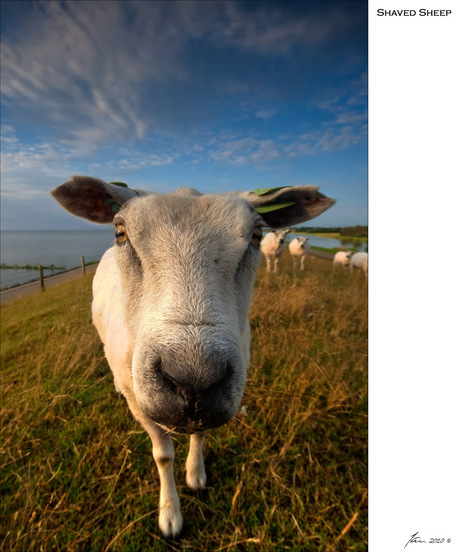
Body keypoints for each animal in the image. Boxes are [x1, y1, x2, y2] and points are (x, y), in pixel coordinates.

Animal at [50, 178, 334, 540]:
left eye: (257, 235)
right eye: (120, 232)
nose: (194, 379)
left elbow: (200, 434)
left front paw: (195, 476)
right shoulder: (140, 402)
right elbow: (162, 456)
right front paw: (170, 515)